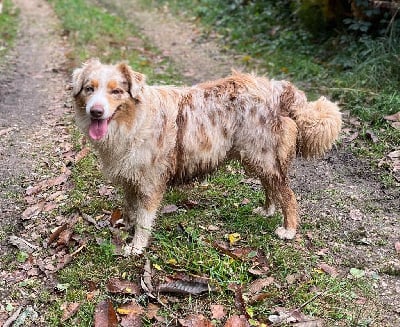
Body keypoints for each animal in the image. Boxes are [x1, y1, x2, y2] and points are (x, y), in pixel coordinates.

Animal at [71, 59, 340, 256]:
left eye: (116, 91)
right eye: (89, 89)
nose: (96, 111)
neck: (134, 121)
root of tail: (278, 88)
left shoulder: (151, 182)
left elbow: (144, 220)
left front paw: (136, 247)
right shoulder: (130, 174)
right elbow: (129, 206)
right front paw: (125, 224)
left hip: (262, 154)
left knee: (288, 194)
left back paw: (289, 229)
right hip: (255, 156)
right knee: (271, 186)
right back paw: (266, 210)